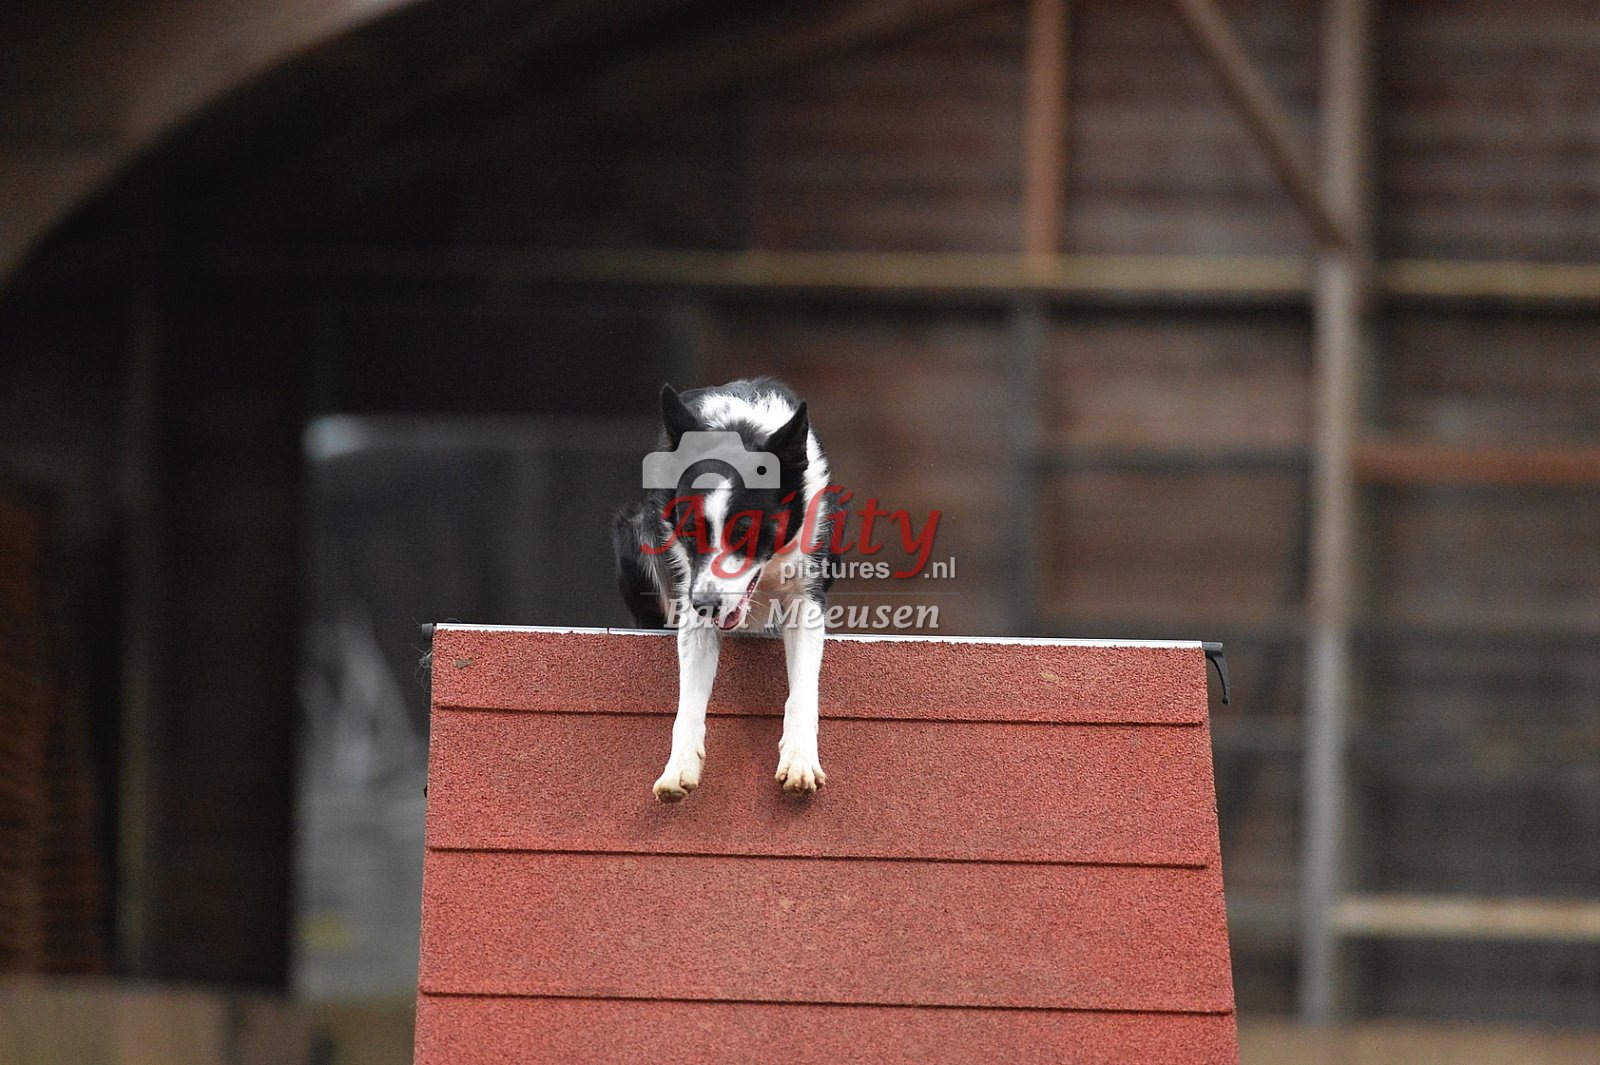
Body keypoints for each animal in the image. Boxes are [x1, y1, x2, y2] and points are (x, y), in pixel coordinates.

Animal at [613, 377, 839, 802]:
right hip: (631, 531)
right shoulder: (693, 592)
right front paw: (678, 768)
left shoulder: (806, 595)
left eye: (744, 533)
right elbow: (688, 699)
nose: (705, 605)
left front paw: (800, 761)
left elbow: (802, 691)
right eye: (689, 533)